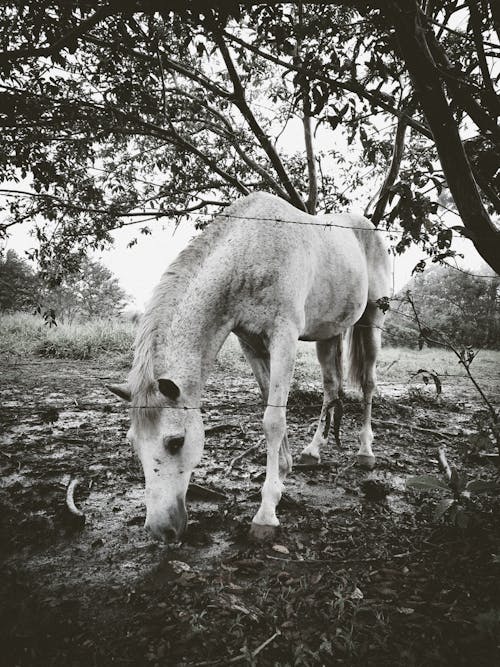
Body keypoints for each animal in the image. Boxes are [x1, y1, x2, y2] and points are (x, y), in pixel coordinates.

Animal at [108, 192, 390, 544]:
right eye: (133, 443)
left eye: (175, 442)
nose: (161, 530)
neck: (253, 251)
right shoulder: (251, 343)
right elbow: (270, 401)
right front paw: (282, 469)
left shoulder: (284, 338)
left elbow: (273, 420)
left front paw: (267, 511)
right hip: (329, 334)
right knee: (331, 387)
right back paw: (313, 451)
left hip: (373, 321)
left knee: (368, 384)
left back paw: (366, 451)